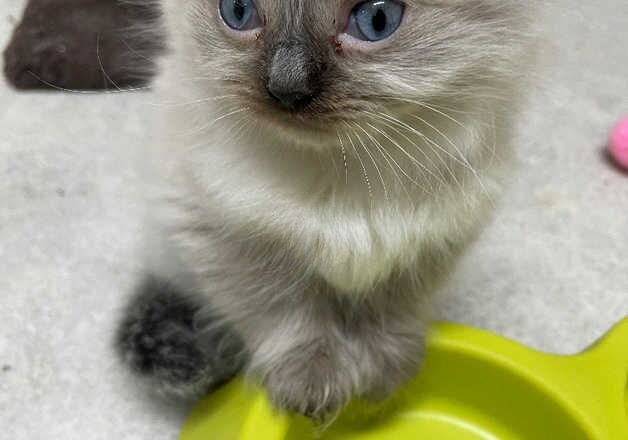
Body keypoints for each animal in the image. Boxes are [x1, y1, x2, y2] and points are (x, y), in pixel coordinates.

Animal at [115, 0, 532, 420]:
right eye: (238, 12)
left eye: (377, 21)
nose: (286, 89)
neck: (343, 172)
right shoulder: (234, 237)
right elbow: (287, 312)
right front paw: (313, 387)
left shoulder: (427, 243)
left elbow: (386, 310)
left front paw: (381, 375)